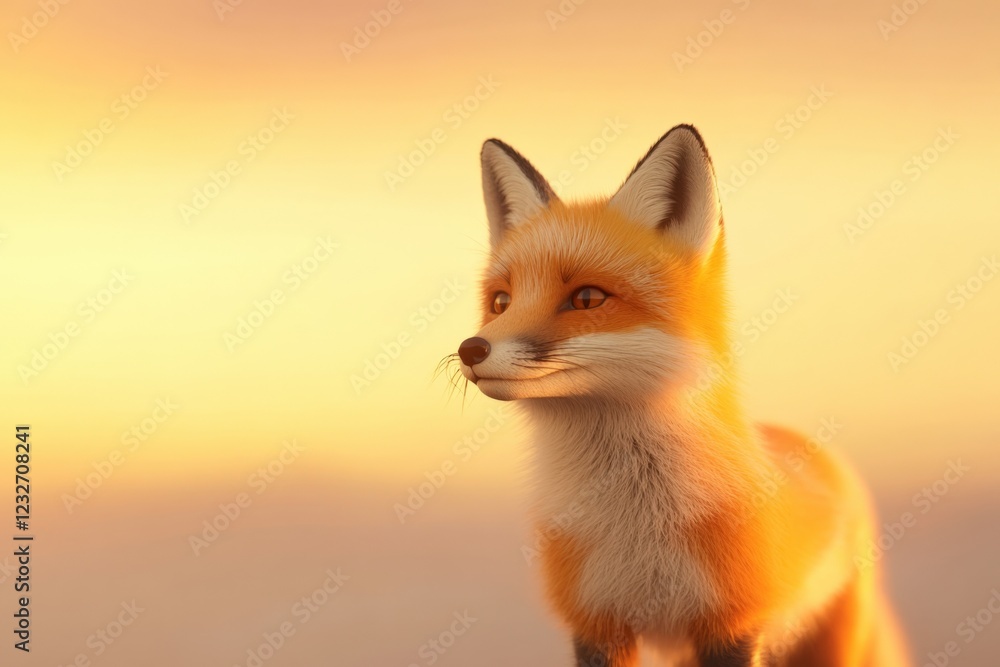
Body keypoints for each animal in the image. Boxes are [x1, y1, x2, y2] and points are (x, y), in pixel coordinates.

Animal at [450, 125, 911, 666]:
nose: (471, 349)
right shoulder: (597, 626)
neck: (642, 526)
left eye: (587, 298)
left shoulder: (732, 626)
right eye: (501, 302)